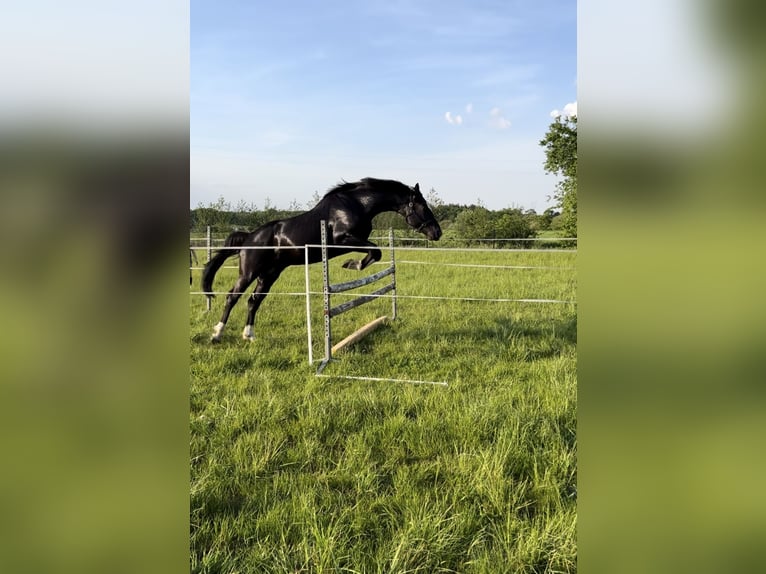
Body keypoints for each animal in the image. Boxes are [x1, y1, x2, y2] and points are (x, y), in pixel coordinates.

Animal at [201, 178, 444, 344]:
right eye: (423, 207)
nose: (437, 233)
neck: (357, 204)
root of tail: (249, 237)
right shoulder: (343, 239)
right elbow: (376, 252)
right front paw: (352, 264)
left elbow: (375, 253)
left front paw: (352, 264)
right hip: (249, 272)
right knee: (232, 297)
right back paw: (217, 334)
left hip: (269, 274)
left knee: (254, 301)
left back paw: (248, 335)